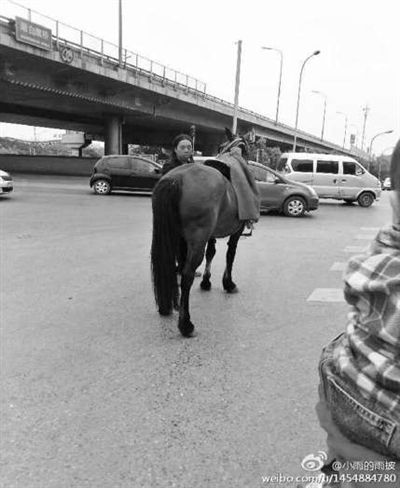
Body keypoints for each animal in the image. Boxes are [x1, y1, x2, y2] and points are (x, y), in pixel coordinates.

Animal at [152, 127, 255, 338]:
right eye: (248, 150)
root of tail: (176, 178)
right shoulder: (236, 232)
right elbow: (230, 254)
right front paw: (228, 283)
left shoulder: (211, 235)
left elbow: (211, 253)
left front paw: (207, 282)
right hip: (196, 240)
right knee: (187, 275)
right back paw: (185, 324)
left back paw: (167, 307)